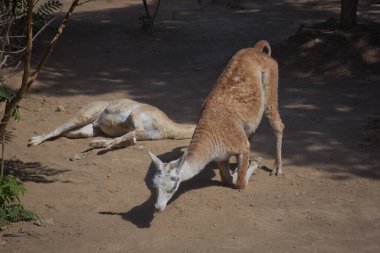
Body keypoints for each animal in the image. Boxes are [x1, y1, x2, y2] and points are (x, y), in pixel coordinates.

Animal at [28, 98, 196, 147]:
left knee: (66, 133)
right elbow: (133, 132)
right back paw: (33, 141)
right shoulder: (136, 115)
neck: (168, 128)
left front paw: (99, 144)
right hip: (84, 115)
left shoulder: (136, 134)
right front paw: (98, 145)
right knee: (57, 129)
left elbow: (128, 139)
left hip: (87, 130)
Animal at [148, 40, 284, 211]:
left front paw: (256, 162)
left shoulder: (241, 146)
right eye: (154, 186)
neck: (212, 134)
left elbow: (240, 183)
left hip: (271, 80)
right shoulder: (221, 155)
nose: (158, 207)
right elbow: (227, 180)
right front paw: (236, 171)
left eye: (172, 187)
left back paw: (277, 168)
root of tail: (257, 49)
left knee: (278, 124)